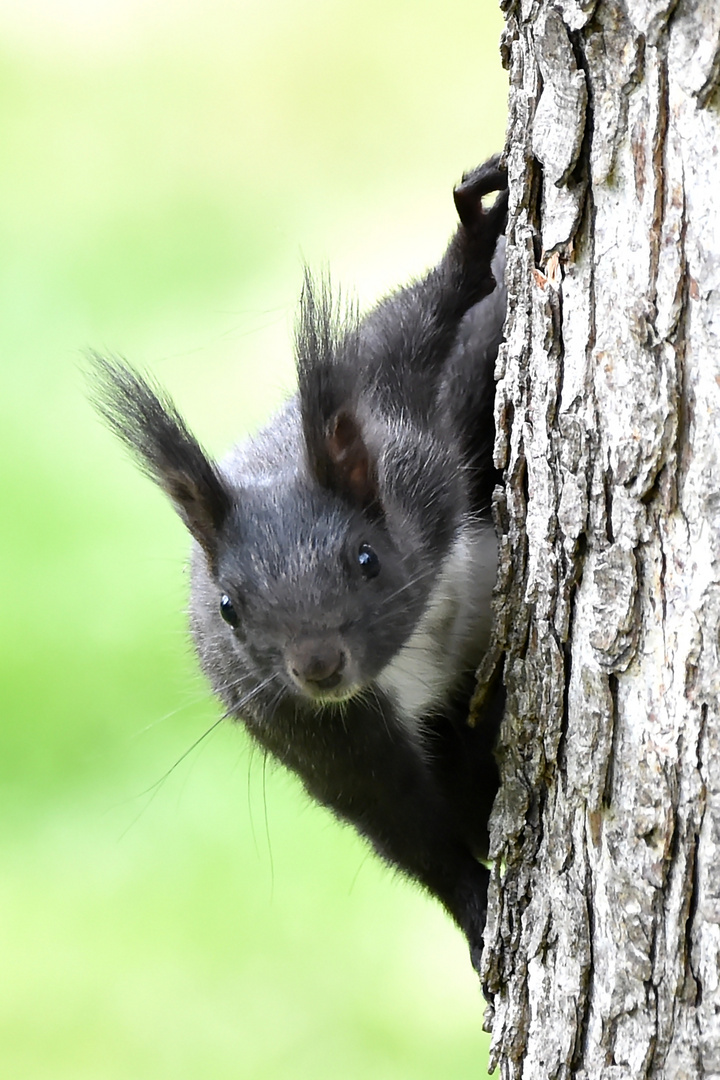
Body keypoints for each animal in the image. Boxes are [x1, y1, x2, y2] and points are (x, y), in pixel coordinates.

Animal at [92, 156, 509, 976]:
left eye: (367, 558)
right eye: (229, 607)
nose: (317, 667)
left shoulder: (402, 432)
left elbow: (403, 329)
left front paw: (470, 242)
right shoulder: (320, 735)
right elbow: (406, 833)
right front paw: (474, 909)